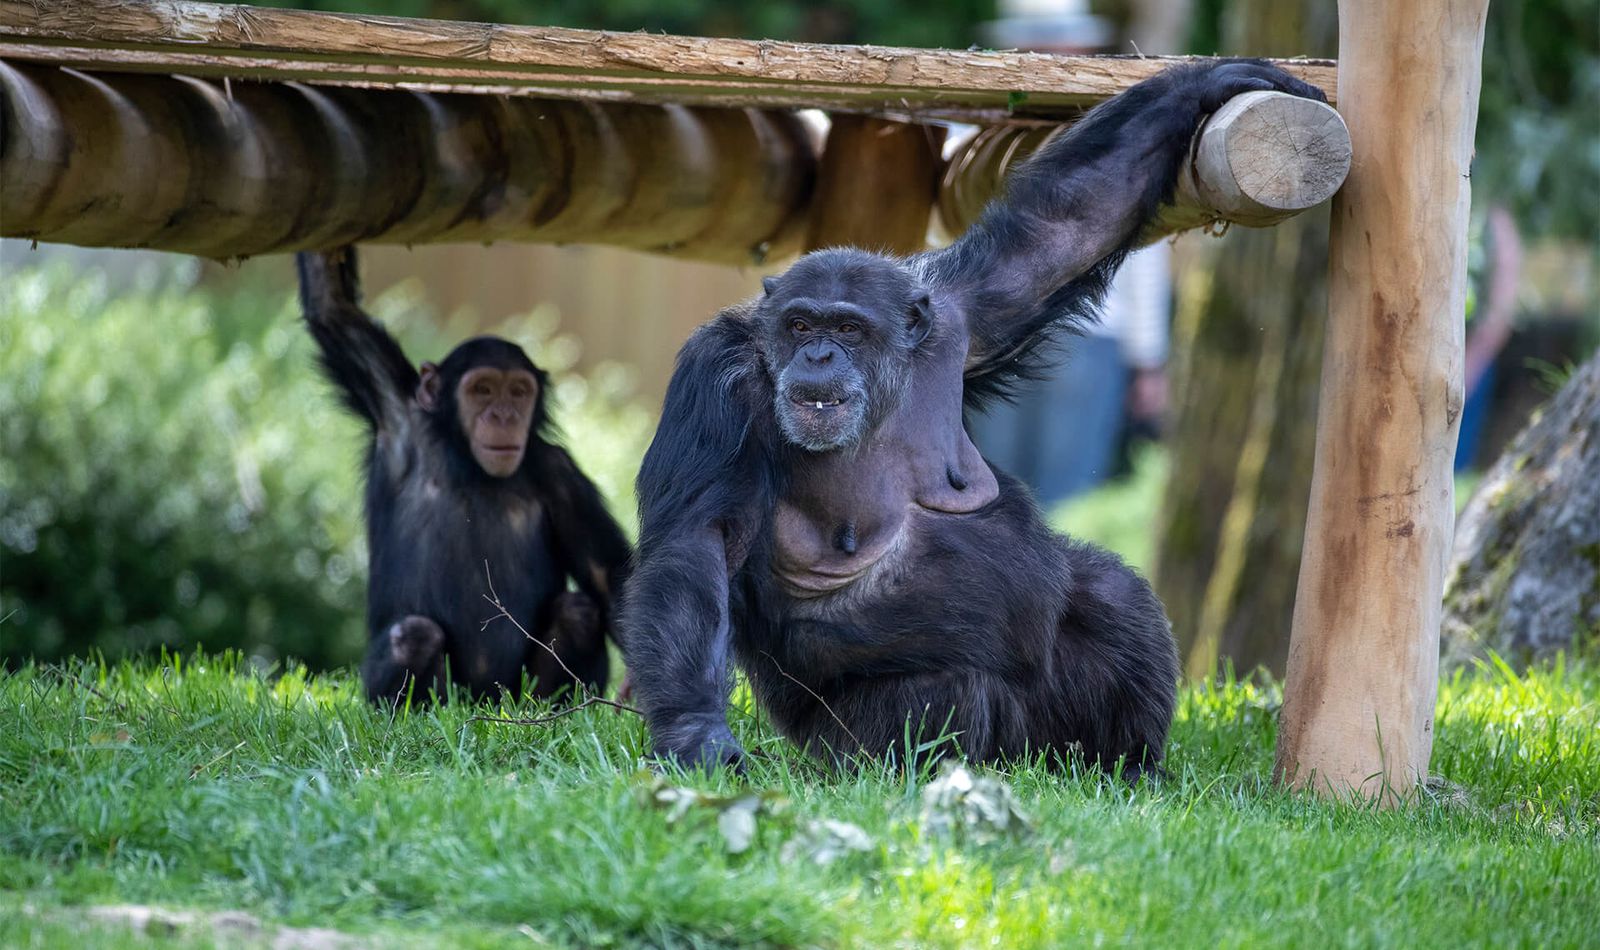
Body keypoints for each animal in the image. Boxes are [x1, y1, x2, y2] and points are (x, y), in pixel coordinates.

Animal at [299, 247, 630, 706]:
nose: (504, 416)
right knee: (414, 636)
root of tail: (485, 700)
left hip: (516, 692)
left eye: (518, 392)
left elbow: (605, 572)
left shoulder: (560, 473)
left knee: (577, 612)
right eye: (483, 390)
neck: (470, 464)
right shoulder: (395, 411)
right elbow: (330, 305)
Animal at [617, 62, 1331, 780]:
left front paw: (1218, 81)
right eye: (799, 325)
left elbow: (1061, 233)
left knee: (1108, 590)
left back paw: (1129, 765)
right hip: (847, 746)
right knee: (943, 686)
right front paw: (697, 737)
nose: (818, 353)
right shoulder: (716, 384)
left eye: (847, 328)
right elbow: (696, 542)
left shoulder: (956, 313)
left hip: (1049, 735)